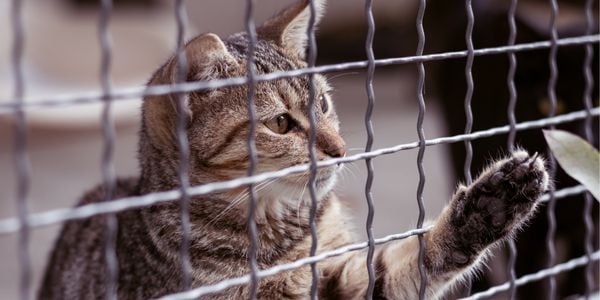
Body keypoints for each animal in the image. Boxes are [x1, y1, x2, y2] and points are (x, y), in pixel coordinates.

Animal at [39, 1, 552, 298]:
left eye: (322, 103)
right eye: (281, 123)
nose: (341, 149)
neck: (283, 233)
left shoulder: (344, 274)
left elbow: (410, 261)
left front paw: (491, 204)